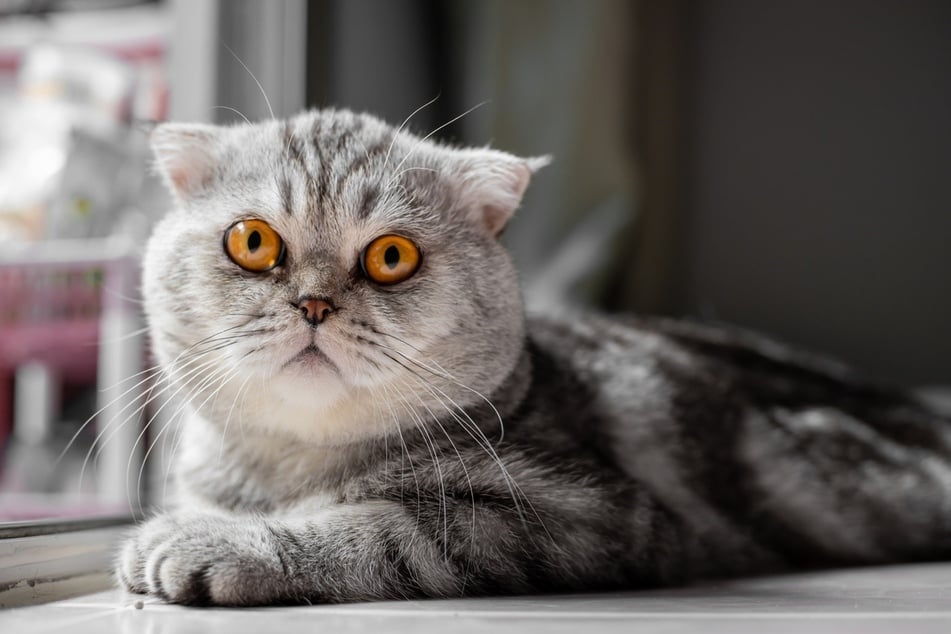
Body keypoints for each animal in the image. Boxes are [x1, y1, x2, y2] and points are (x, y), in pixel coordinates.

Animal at [119, 106, 951, 604]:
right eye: (253, 241)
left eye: (391, 256)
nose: (314, 303)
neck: (288, 467)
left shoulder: (579, 514)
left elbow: (369, 527)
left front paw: (207, 543)